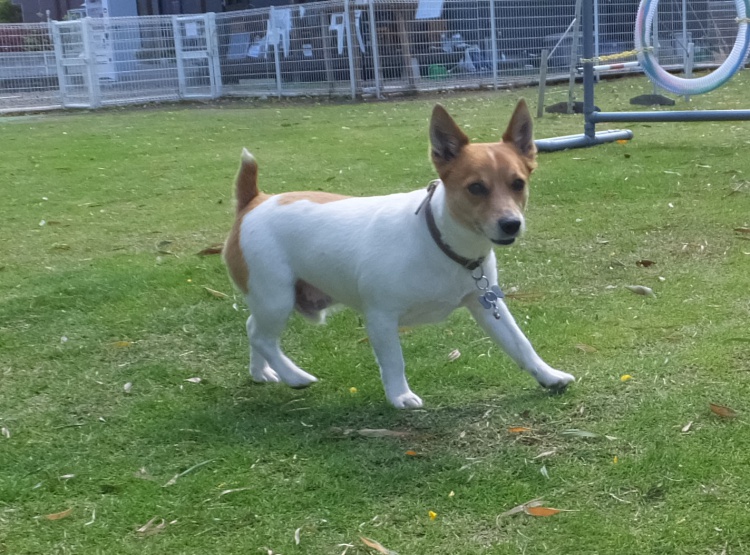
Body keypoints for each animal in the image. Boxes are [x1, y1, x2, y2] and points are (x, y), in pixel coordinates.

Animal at [223, 99, 575, 409]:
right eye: (476, 188)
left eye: (518, 183)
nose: (511, 224)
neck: (438, 241)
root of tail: (254, 201)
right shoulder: (381, 317)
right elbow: (394, 361)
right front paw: (399, 396)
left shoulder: (486, 305)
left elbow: (520, 343)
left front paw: (547, 375)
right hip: (276, 297)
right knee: (261, 336)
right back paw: (294, 376)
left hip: (271, 300)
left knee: (253, 330)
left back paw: (262, 372)